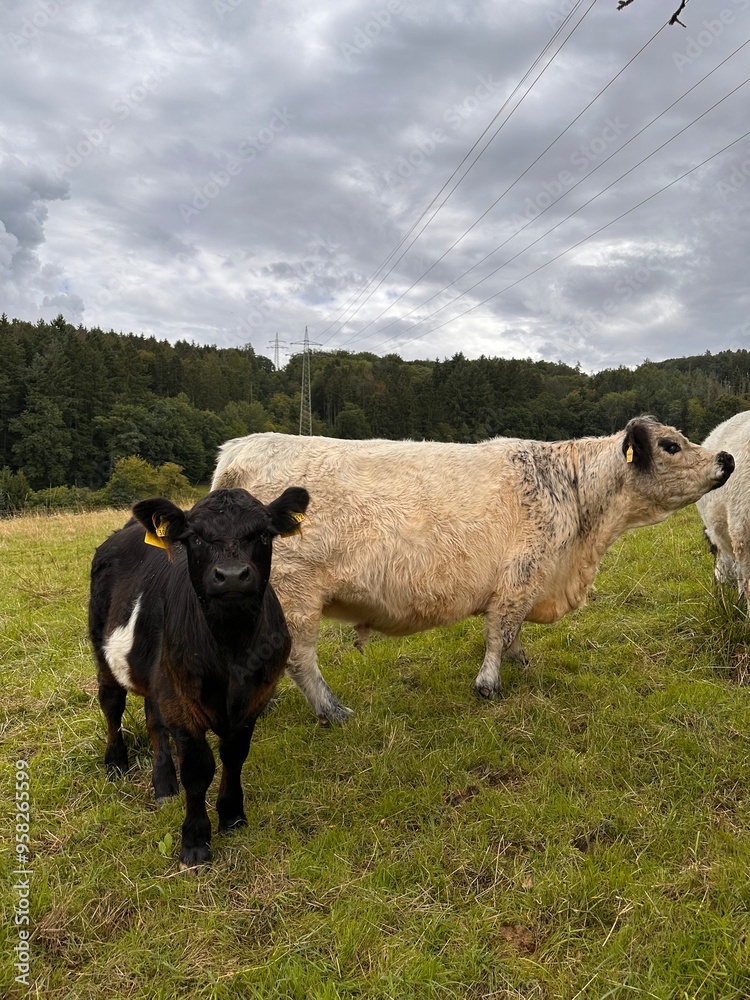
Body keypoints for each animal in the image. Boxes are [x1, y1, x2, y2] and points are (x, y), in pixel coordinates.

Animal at [88, 486, 309, 869]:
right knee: (112, 704)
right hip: (103, 650)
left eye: (263, 534)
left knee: (153, 720)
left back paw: (163, 783)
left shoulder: (253, 699)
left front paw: (232, 815)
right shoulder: (182, 704)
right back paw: (115, 762)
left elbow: (234, 755)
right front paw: (194, 841)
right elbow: (197, 769)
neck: (230, 646)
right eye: (195, 538)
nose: (232, 575)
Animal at [211, 418, 734, 725]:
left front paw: (521, 661)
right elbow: (499, 631)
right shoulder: (522, 572)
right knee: (300, 658)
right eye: (671, 445)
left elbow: (513, 632)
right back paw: (332, 710)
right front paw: (490, 684)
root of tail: (240, 450)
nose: (726, 458)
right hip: (295, 594)